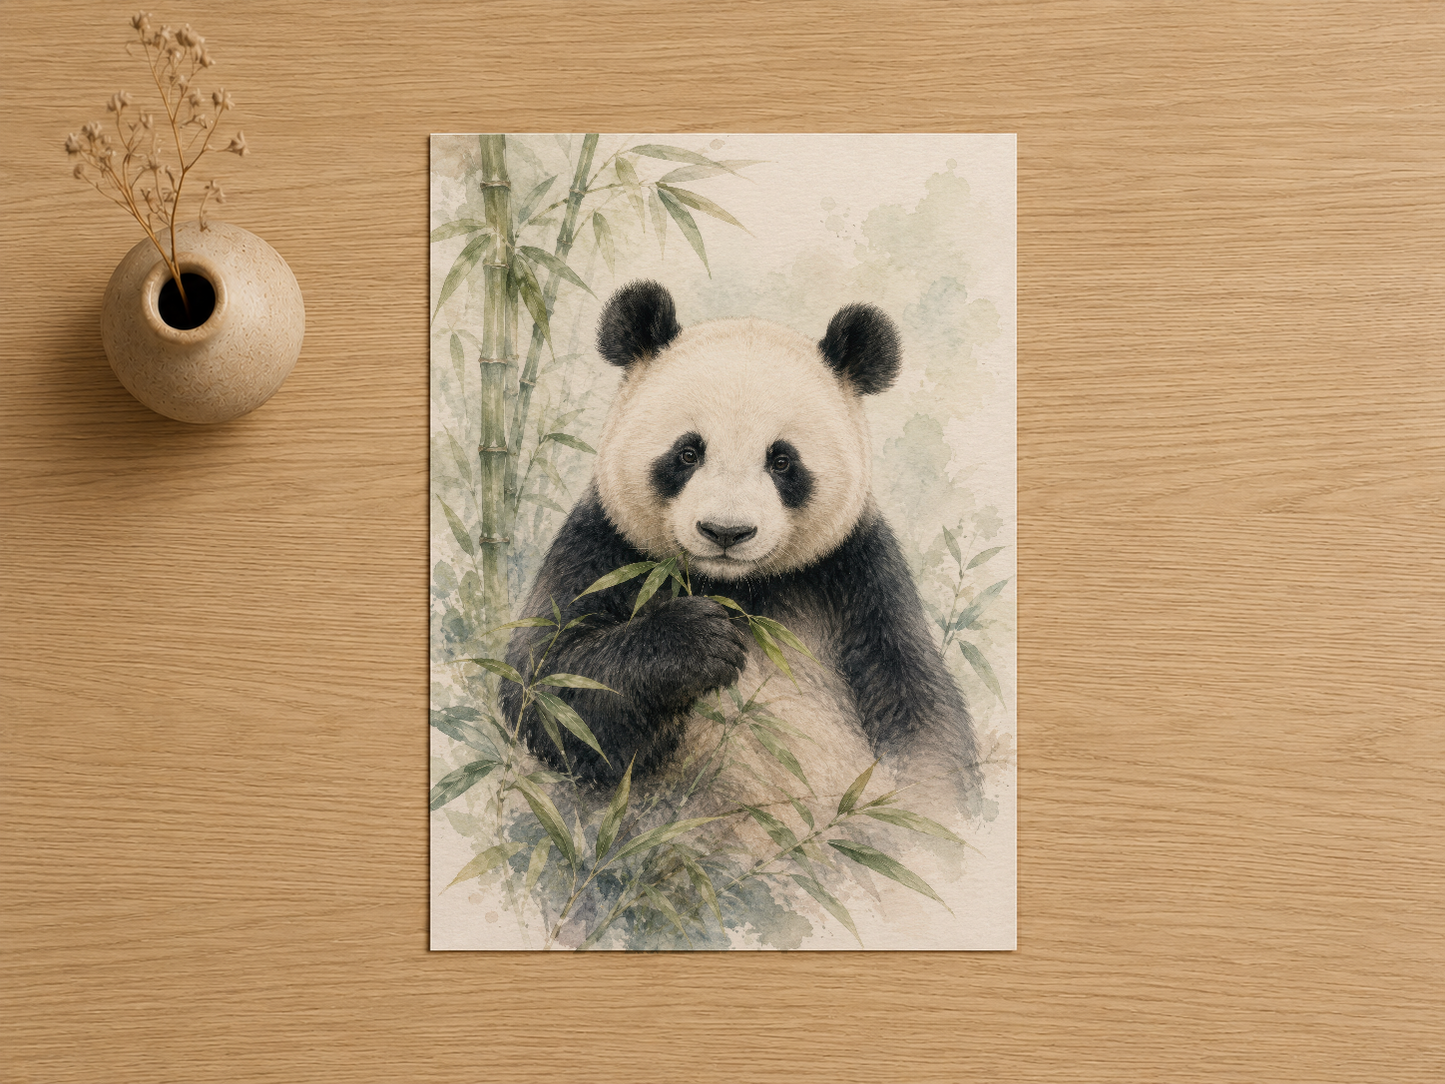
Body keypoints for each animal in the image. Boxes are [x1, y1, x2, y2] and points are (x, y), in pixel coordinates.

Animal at [502, 281, 980, 807]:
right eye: (688, 453)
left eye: (782, 461)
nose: (726, 532)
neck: (737, 586)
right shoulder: (604, 546)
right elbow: (549, 686)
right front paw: (699, 640)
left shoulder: (858, 573)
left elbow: (920, 713)